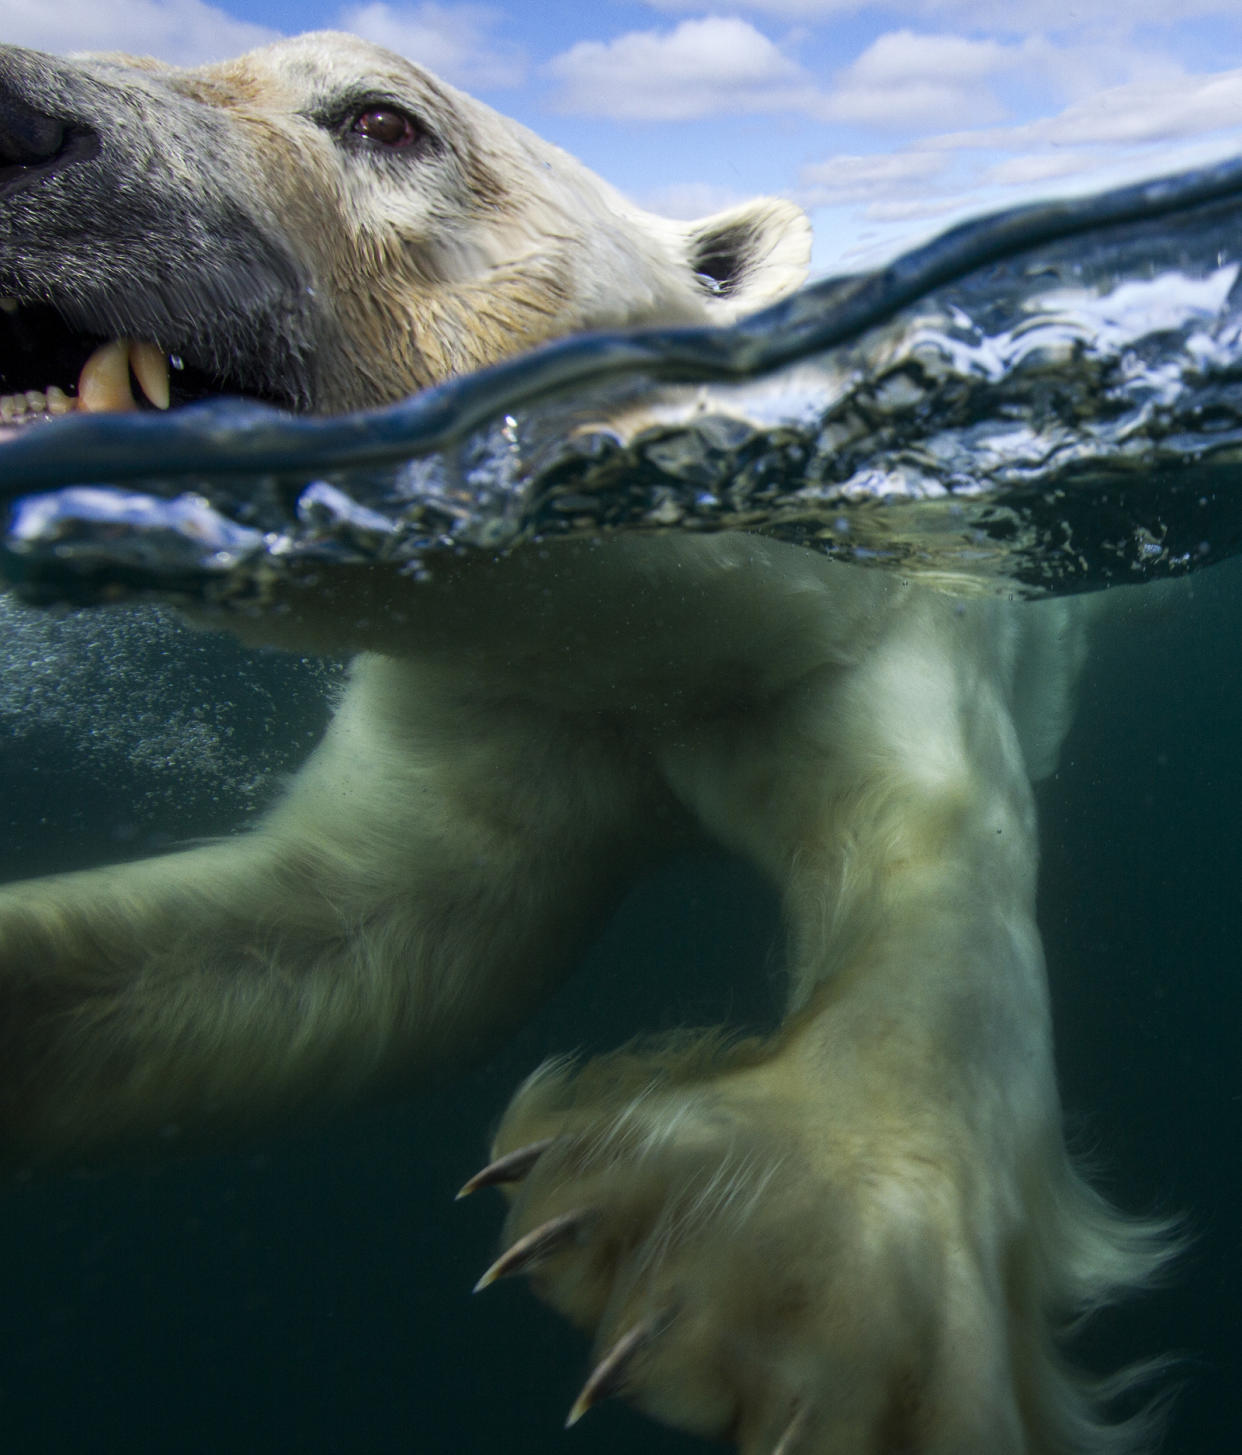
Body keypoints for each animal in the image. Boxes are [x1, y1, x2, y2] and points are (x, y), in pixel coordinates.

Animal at [0, 31, 1175, 1455]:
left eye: (382, 118)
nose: (18, 120)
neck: (646, 620)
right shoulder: (507, 700)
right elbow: (341, 940)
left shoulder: (876, 616)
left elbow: (934, 865)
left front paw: (757, 1255)